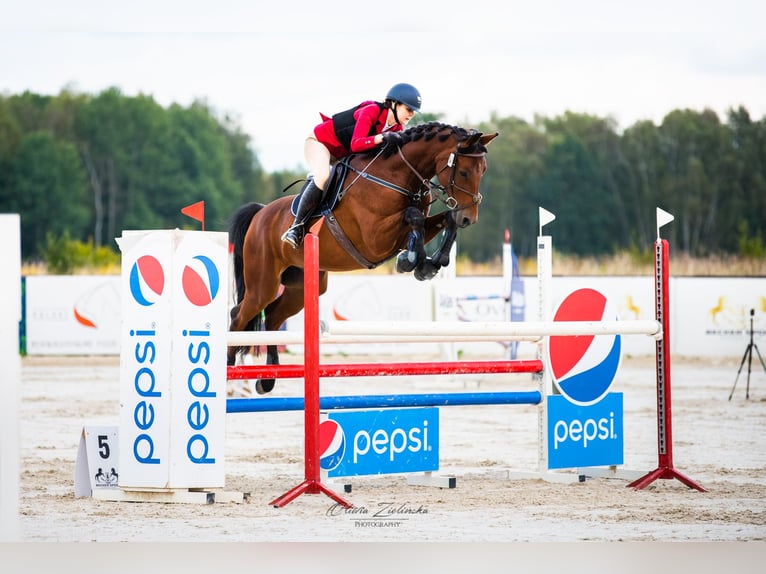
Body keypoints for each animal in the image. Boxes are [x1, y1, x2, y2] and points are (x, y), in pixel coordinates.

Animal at [228, 121, 498, 393]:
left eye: (483, 170)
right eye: (463, 172)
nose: (469, 218)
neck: (397, 176)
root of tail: (261, 213)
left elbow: (441, 220)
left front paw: (429, 264)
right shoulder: (374, 239)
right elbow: (414, 217)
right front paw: (411, 260)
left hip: (302, 287)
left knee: (273, 317)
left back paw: (267, 379)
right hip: (263, 283)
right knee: (239, 316)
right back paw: (229, 371)